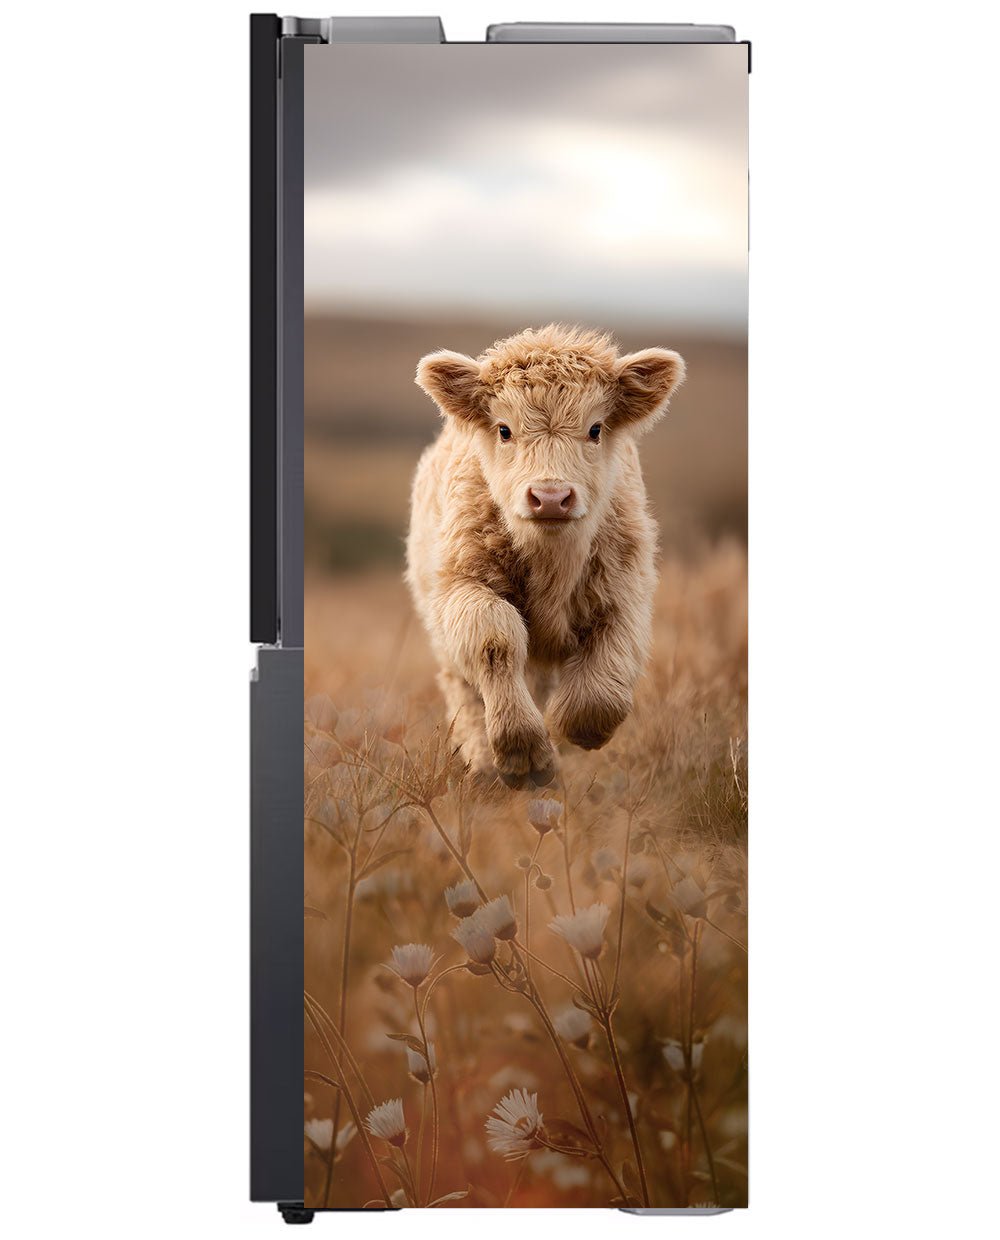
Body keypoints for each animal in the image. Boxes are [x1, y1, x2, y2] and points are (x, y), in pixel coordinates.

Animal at [406, 324, 685, 789]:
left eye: (595, 428)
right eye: (504, 429)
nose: (551, 497)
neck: (552, 563)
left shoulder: (625, 593)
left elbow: (600, 689)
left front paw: (570, 729)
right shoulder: (463, 586)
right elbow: (494, 639)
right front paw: (525, 754)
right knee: (466, 690)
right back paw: (485, 764)